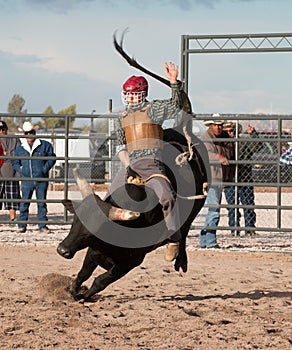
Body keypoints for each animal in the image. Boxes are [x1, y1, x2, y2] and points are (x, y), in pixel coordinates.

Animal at [57, 126, 210, 300]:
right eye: (76, 220)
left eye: (93, 230)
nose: (62, 250)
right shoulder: (93, 251)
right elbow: (84, 273)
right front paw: (73, 291)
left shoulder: (132, 261)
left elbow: (100, 281)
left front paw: (84, 296)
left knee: (183, 232)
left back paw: (180, 259)